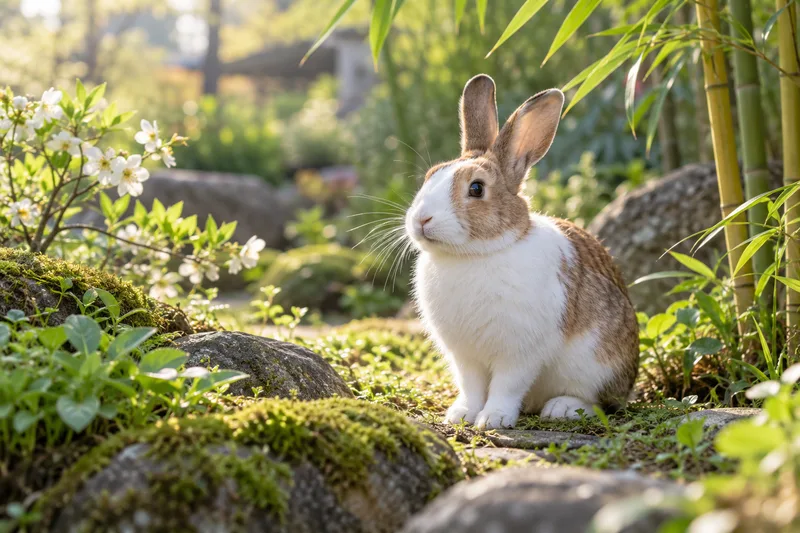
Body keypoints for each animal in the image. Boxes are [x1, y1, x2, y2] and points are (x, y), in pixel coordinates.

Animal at [404, 74, 639, 429]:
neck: (475, 255)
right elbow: (471, 385)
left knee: (598, 400)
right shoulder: (465, 356)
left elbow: (506, 385)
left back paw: (562, 408)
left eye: (476, 188)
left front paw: (494, 419)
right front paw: (462, 415)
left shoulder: (519, 352)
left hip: (597, 363)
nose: (421, 219)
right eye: (431, 175)